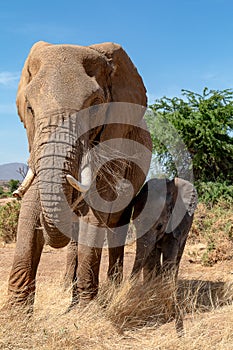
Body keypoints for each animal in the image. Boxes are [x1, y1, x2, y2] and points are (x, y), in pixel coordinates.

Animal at [7, 41, 152, 308]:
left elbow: (96, 208)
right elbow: (30, 208)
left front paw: (84, 310)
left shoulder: (113, 139)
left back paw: (112, 289)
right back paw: (68, 287)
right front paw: (17, 312)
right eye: (30, 108)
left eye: (94, 106)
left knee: (117, 225)